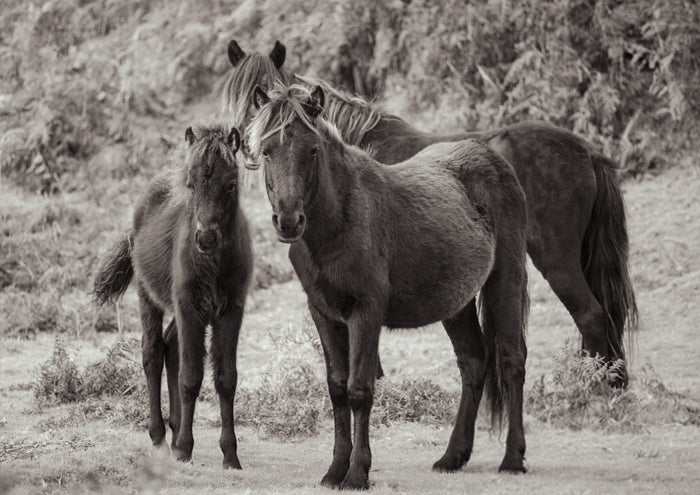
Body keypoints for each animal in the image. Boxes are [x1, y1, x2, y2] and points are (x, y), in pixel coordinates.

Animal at [93, 123, 252, 469]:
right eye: (191, 185)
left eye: (231, 185)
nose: (205, 237)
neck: (213, 263)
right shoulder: (190, 308)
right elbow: (191, 377)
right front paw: (183, 448)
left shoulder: (230, 311)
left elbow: (226, 379)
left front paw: (230, 455)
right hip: (149, 296)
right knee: (153, 353)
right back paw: (160, 436)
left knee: (170, 347)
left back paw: (176, 426)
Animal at [221, 40, 637, 386]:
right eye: (236, 93)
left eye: (263, 93)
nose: (248, 147)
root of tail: (587, 151)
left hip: (556, 260)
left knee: (591, 315)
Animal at [248, 83, 529, 489]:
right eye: (266, 150)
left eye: (312, 149)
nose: (288, 221)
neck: (340, 221)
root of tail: (492, 159)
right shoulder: (324, 314)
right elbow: (337, 389)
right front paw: (334, 470)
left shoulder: (366, 313)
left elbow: (359, 390)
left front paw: (357, 473)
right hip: (457, 304)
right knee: (474, 362)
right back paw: (452, 456)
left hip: (505, 281)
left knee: (511, 360)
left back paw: (512, 459)